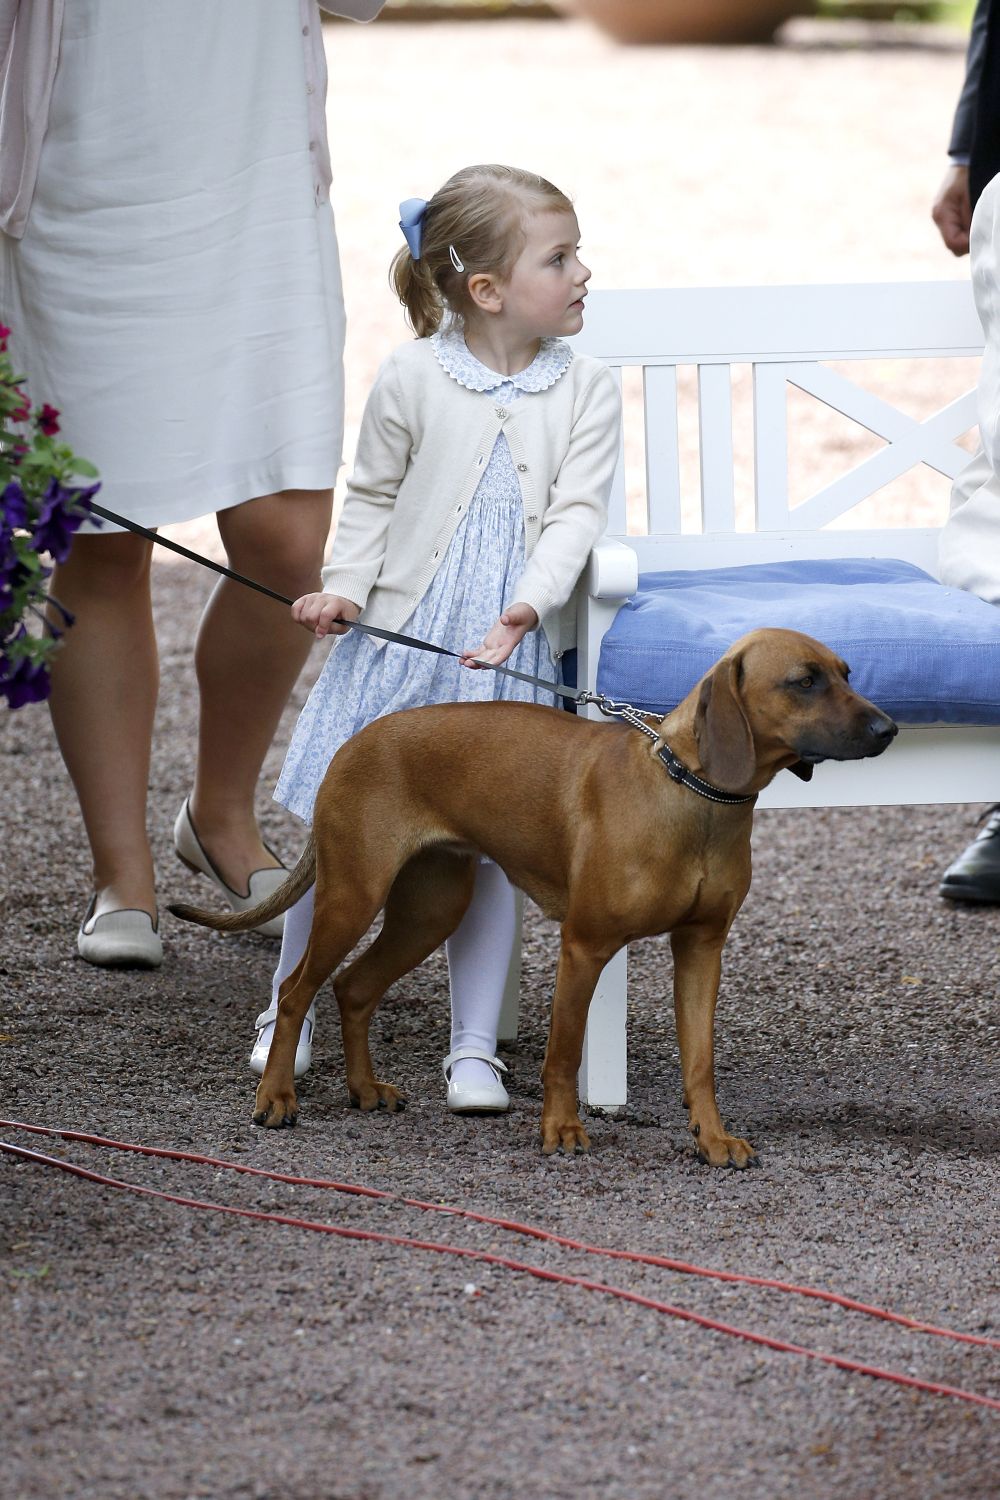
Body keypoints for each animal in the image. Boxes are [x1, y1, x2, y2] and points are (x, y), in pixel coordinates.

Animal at [172, 627, 899, 1164]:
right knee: (297, 989)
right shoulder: (585, 947)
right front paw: (561, 1130)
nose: (888, 729)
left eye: (848, 672)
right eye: (804, 680)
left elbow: (700, 1061)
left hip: (430, 909)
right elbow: (563, 1052)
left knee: (353, 988)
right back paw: (275, 1098)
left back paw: (363, 1090)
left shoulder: (702, 950)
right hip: (354, 894)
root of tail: (354, 742)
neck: (693, 794)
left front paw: (712, 1137)